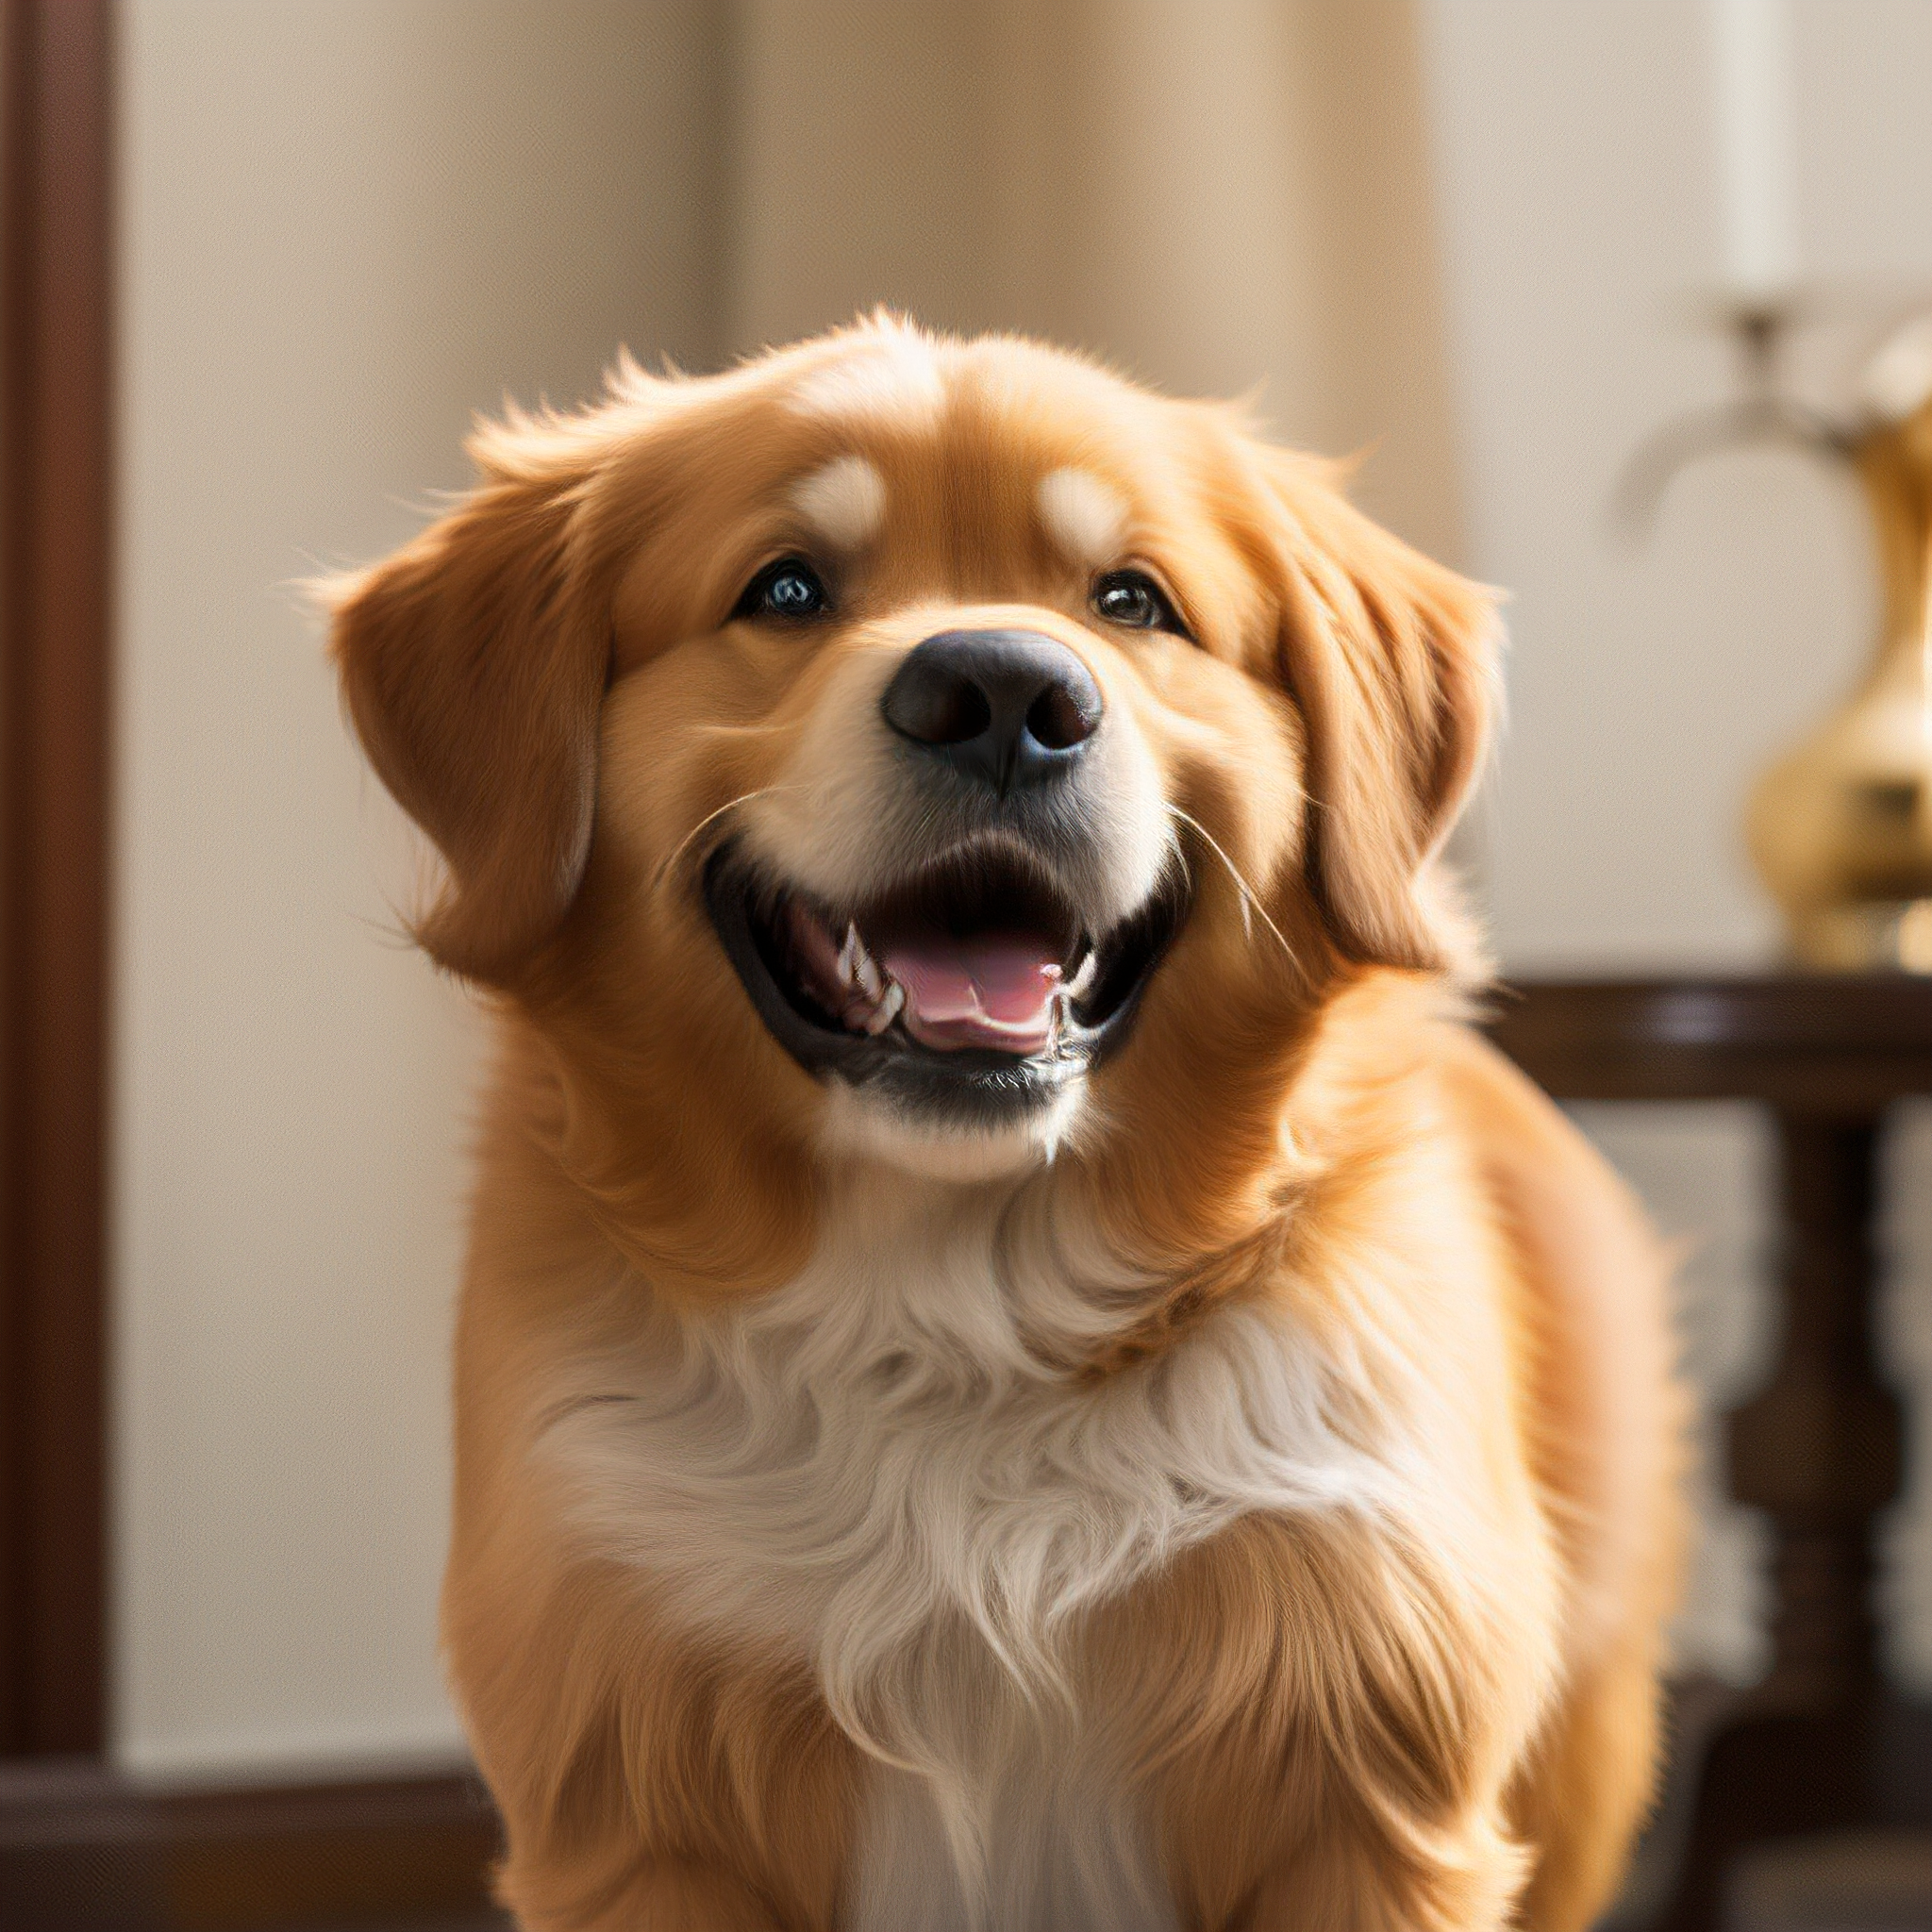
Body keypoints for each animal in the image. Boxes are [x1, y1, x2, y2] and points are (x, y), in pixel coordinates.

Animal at [328, 320, 1676, 1932]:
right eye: (785, 589)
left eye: (1131, 600)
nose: (1003, 696)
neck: (960, 1308)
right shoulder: (635, 1811)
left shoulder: (1368, 1799)